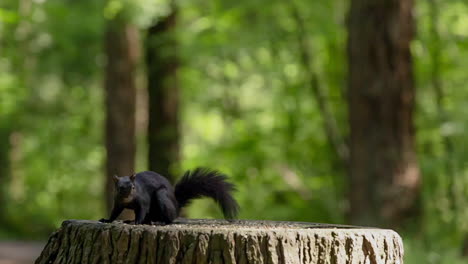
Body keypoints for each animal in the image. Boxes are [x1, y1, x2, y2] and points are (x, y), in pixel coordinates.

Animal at [98, 168, 238, 224]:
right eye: (119, 188)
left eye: (133, 187)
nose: (128, 195)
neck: (128, 201)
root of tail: (177, 206)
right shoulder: (118, 203)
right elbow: (114, 213)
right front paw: (107, 220)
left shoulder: (143, 199)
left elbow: (143, 209)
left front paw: (137, 222)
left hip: (162, 196)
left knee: (169, 219)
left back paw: (160, 222)